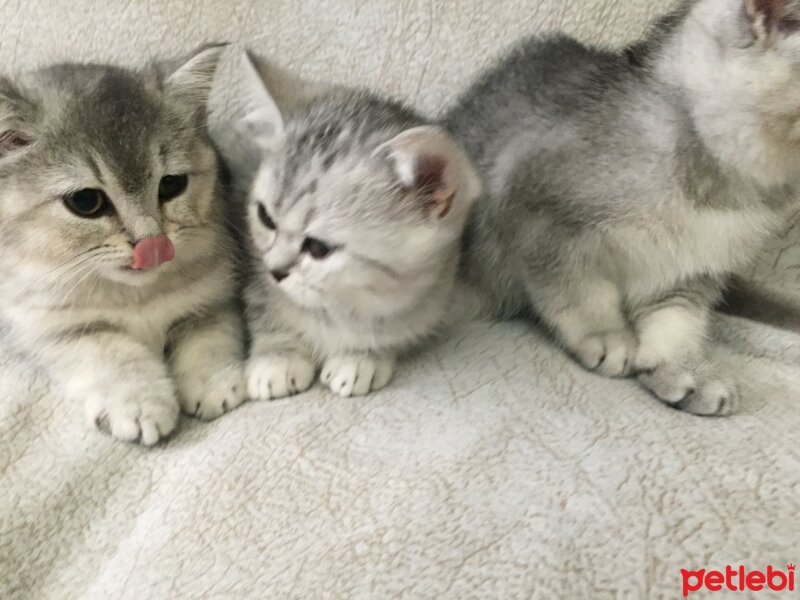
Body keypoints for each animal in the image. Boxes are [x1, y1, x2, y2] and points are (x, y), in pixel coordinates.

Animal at [0, 45, 247, 446]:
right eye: (86, 201)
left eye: (171, 185)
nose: (153, 244)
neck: (136, 297)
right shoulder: (49, 328)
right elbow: (113, 355)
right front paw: (141, 404)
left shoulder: (214, 295)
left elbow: (208, 336)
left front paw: (213, 381)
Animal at [219, 52, 478, 398]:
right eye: (265, 218)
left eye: (319, 247)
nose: (274, 271)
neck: (339, 308)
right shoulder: (251, 271)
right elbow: (265, 310)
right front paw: (278, 355)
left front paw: (361, 357)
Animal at [446, 0, 800, 418]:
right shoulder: (536, 210)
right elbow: (578, 289)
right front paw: (607, 335)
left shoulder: (689, 270)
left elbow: (678, 318)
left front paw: (681, 365)